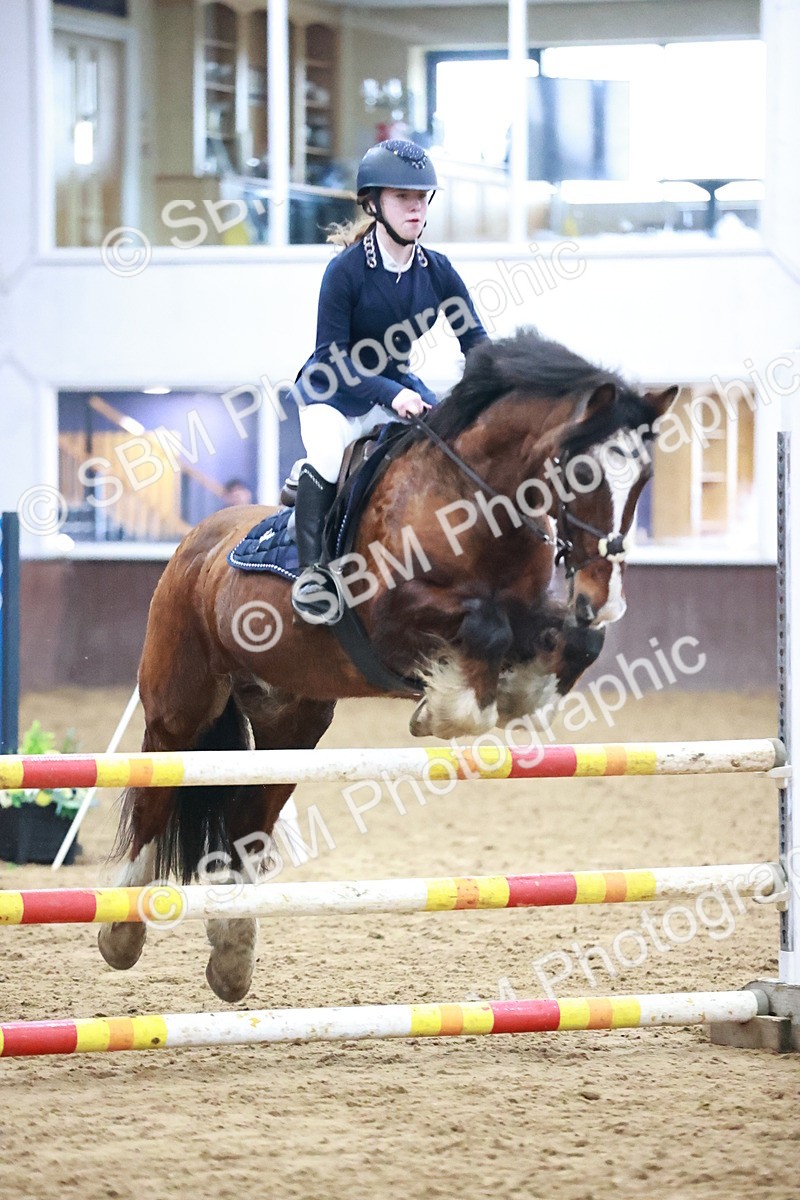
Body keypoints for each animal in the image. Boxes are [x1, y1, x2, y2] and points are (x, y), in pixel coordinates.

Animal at [98, 328, 676, 1001]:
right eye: (584, 472)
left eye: (645, 476)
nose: (604, 598)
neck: (476, 503)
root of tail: (195, 543)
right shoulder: (388, 615)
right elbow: (484, 628)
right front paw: (448, 708)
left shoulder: (536, 613)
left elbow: (572, 643)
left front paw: (515, 692)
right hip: (180, 706)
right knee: (155, 795)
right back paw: (121, 931)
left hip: (291, 723)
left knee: (246, 821)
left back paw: (232, 957)